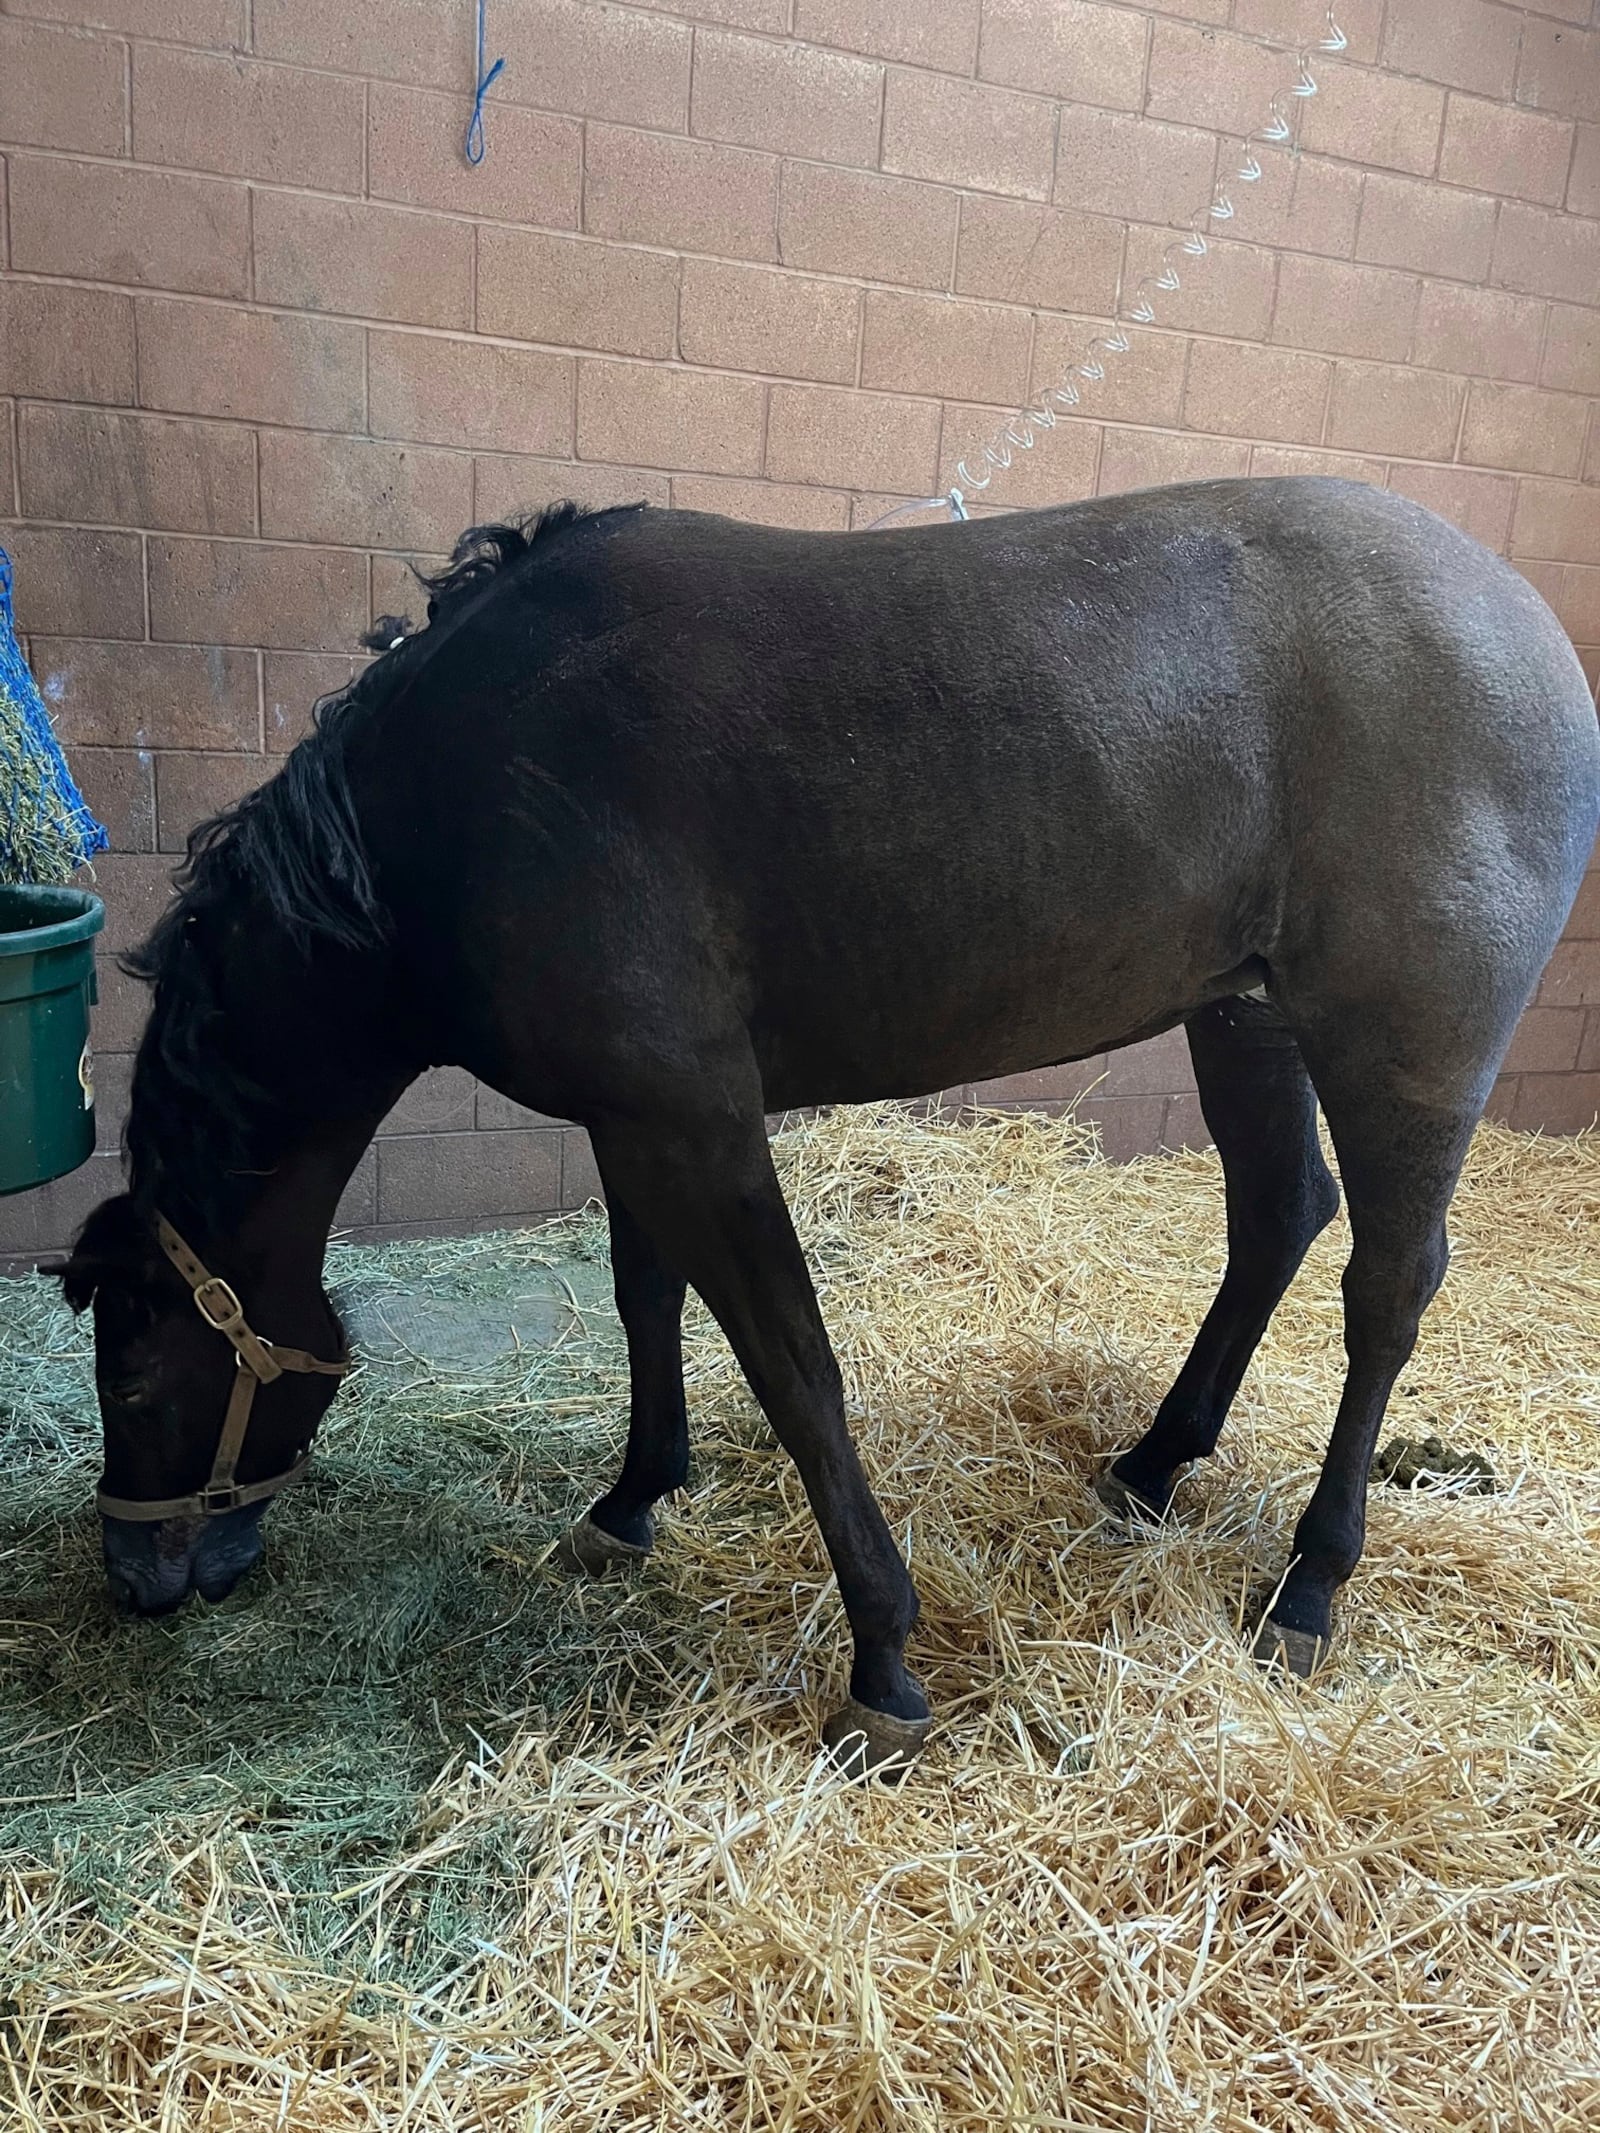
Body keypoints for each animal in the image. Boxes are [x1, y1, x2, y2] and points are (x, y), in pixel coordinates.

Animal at [56, 479, 1595, 1766]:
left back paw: (1311, 1584)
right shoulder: (632, 1118)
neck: (457, 796)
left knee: (1387, 1287)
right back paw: (1156, 1462)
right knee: (1278, 1217)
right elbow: (647, 1296)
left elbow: (795, 1370)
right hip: (1245, 1018)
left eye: (130, 1384)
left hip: (1404, 1049)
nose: (135, 1579)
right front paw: (632, 1498)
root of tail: (1524, 624)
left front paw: (883, 1655)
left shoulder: (698, 1120)